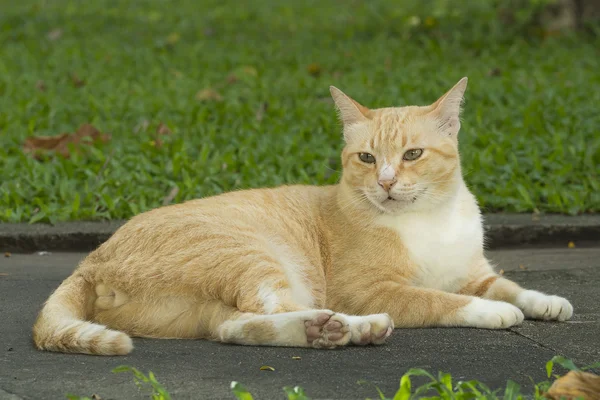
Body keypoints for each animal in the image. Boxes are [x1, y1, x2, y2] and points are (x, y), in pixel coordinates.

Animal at [31, 78, 572, 356]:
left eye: (413, 154)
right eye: (367, 158)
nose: (386, 182)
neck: (428, 219)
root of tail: (90, 260)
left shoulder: (474, 271)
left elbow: (510, 286)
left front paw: (545, 302)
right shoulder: (370, 289)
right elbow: (441, 299)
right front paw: (492, 312)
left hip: (209, 305)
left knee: (234, 327)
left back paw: (327, 332)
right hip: (256, 257)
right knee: (272, 307)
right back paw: (350, 327)